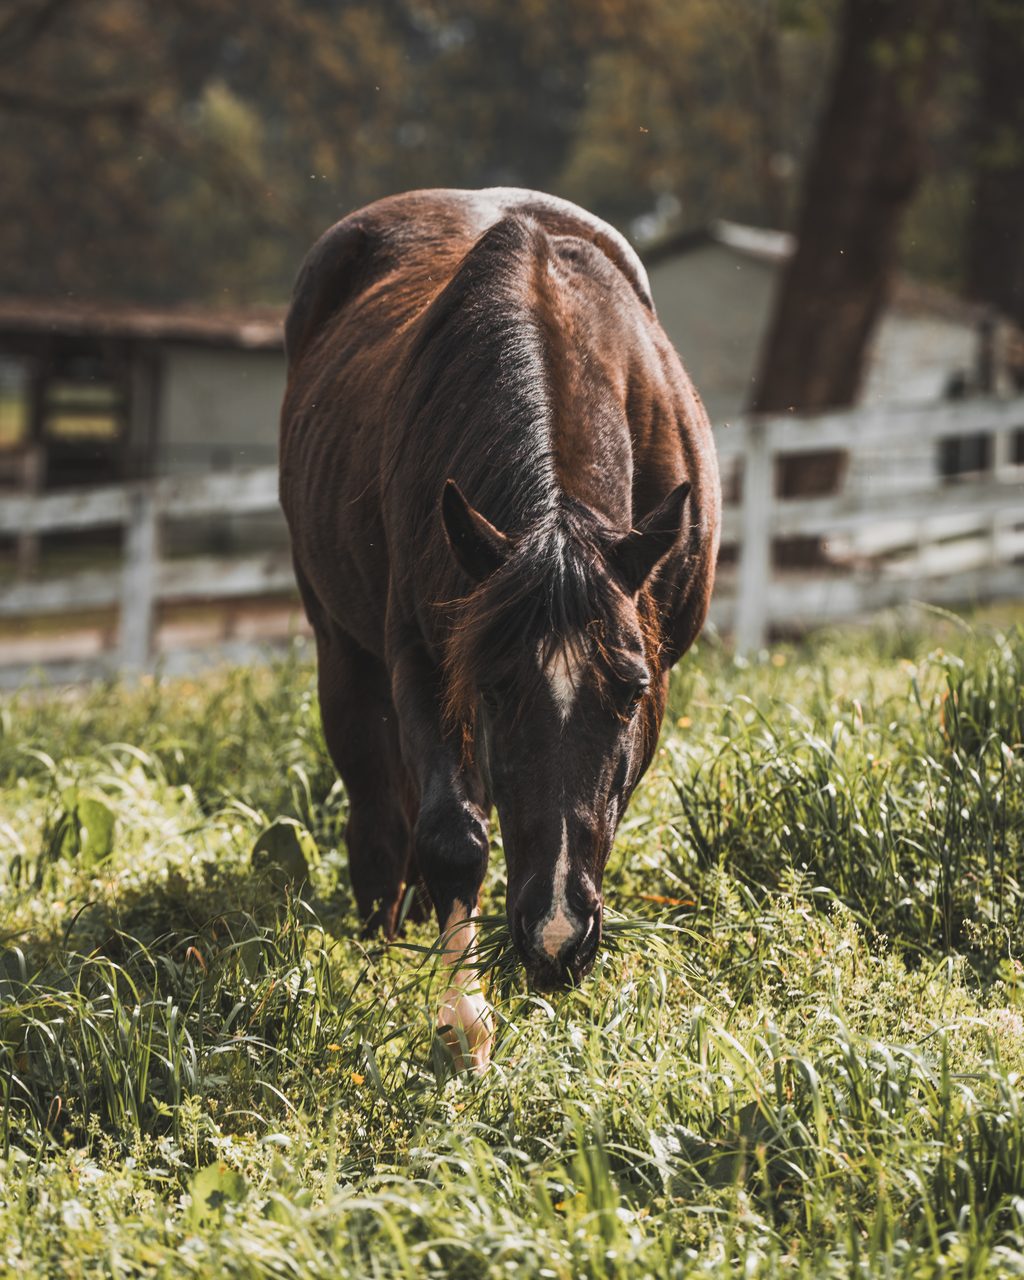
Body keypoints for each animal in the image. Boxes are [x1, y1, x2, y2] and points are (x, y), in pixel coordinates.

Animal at [279, 188, 720, 1071]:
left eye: (628, 692)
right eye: (494, 686)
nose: (556, 939)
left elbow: (598, 810)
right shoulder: (426, 659)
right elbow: (453, 833)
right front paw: (464, 1016)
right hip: (343, 652)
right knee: (382, 810)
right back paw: (387, 938)